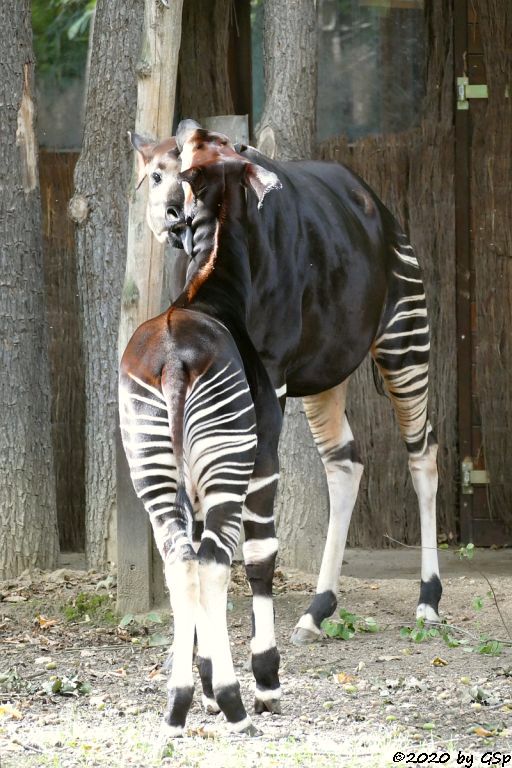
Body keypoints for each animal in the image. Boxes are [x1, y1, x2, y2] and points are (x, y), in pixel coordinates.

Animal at [119, 148, 284, 732]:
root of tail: (172, 360)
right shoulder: (264, 464)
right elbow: (258, 559)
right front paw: (265, 683)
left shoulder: (189, 484)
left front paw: (206, 686)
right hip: (228, 466)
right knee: (212, 559)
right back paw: (237, 706)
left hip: (151, 467)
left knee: (180, 559)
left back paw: (177, 704)